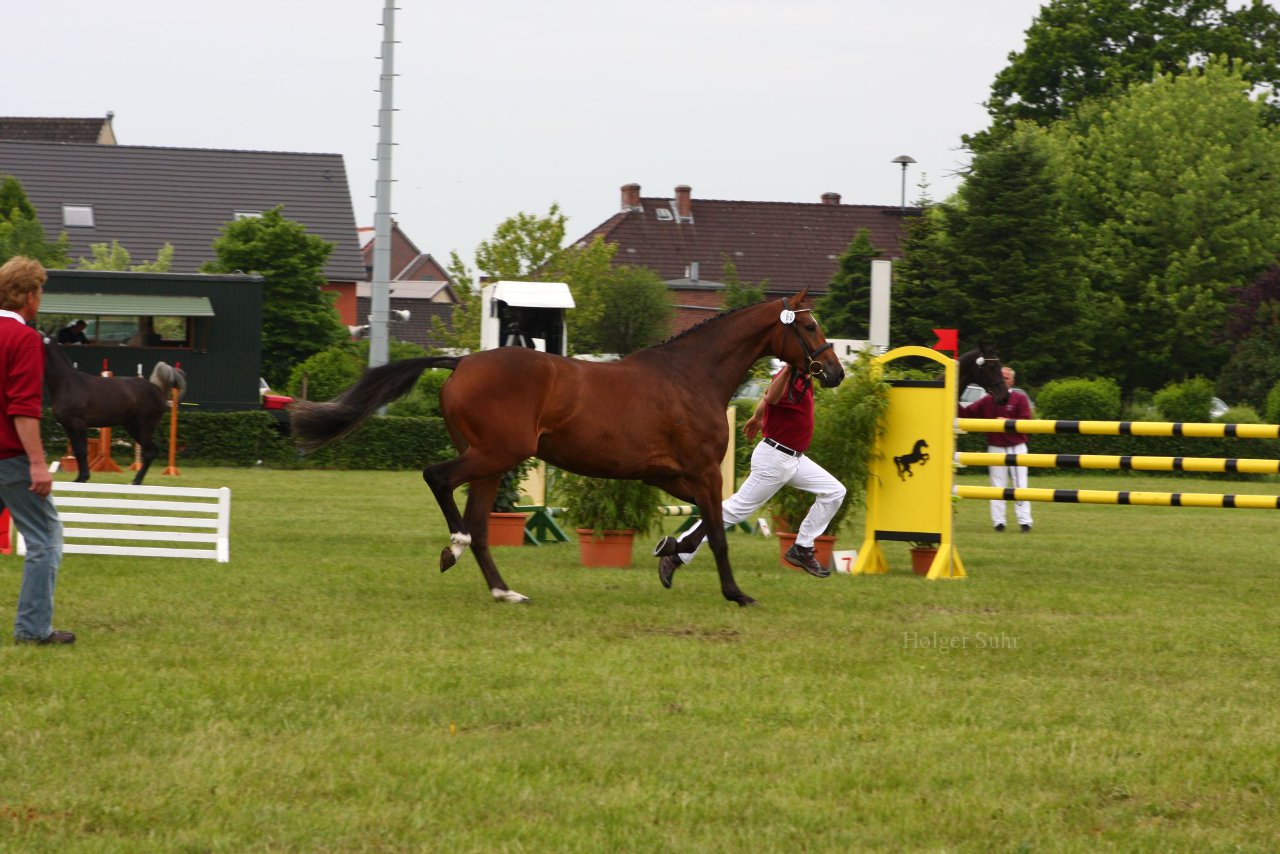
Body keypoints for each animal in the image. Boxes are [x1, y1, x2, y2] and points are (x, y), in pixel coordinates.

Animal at [44, 343, 186, 486]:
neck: (67, 383)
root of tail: (158, 391)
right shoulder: (67, 426)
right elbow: (77, 451)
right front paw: (79, 478)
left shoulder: (79, 424)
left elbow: (83, 450)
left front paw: (83, 478)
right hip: (132, 428)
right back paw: (136, 481)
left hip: (144, 427)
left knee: (150, 451)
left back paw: (136, 480)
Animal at [293, 289, 844, 606]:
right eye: (809, 326)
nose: (836, 372)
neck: (692, 376)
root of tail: (461, 362)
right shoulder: (704, 469)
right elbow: (719, 528)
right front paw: (735, 593)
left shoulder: (668, 474)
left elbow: (712, 521)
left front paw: (670, 554)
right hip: (496, 455)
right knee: (439, 480)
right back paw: (455, 548)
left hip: (491, 463)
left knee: (479, 523)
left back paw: (504, 590)